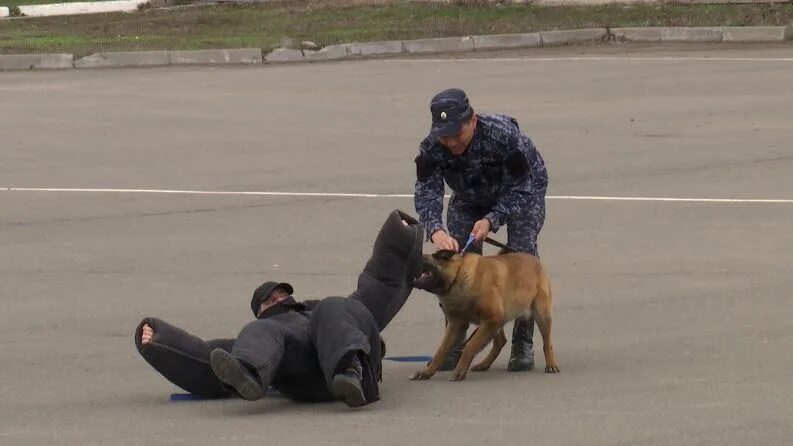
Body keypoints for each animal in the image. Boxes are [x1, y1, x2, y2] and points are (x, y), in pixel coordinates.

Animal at [408, 249, 556, 382]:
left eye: (421, 257)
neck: (458, 275)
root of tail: (536, 261)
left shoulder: (491, 321)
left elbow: (469, 346)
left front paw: (459, 372)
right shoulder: (458, 326)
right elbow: (441, 350)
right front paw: (427, 372)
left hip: (541, 316)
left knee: (547, 342)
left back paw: (551, 364)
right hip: (495, 324)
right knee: (500, 342)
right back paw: (484, 364)